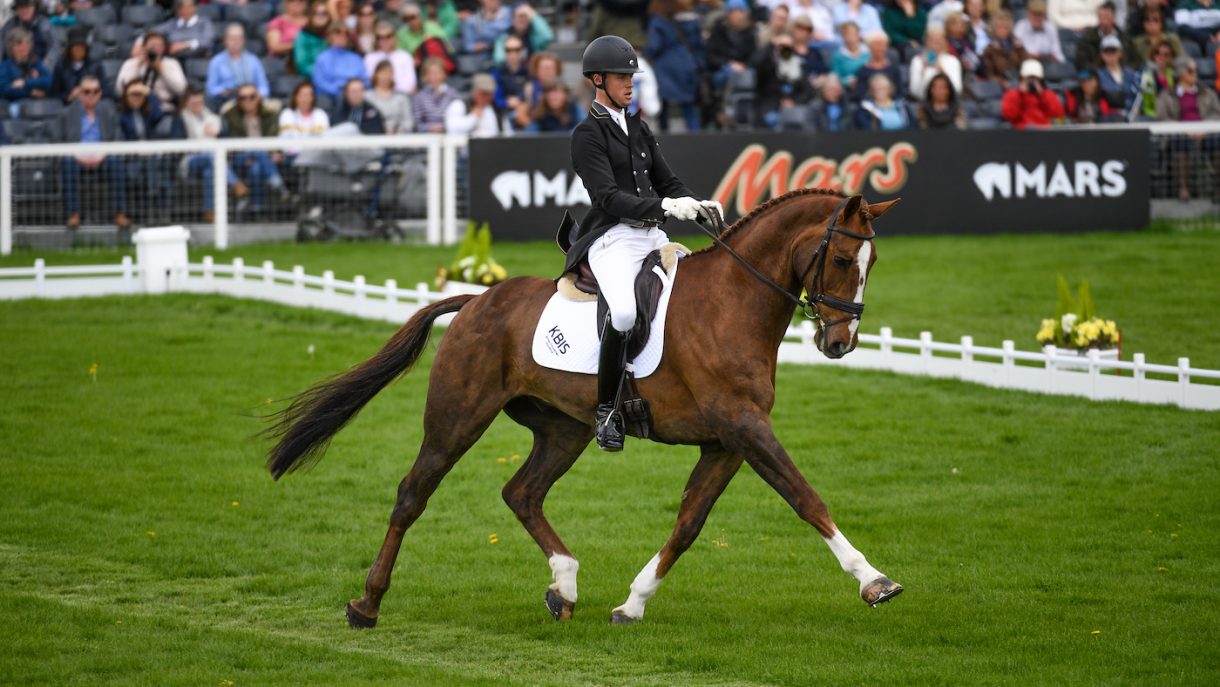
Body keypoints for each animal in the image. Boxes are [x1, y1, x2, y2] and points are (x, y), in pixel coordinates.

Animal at [265, 188, 903, 627]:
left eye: (872, 266)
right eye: (842, 260)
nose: (839, 343)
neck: (732, 303)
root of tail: (476, 300)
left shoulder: (726, 441)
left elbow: (689, 523)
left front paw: (632, 604)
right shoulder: (744, 428)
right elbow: (806, 499)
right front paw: (875, 582)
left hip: (562, 429)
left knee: (521, 492)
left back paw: (564, 587)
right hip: (457, 418)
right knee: (412, 494)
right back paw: (367, 604)